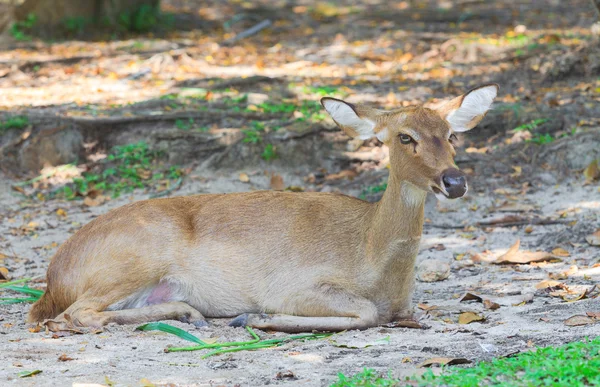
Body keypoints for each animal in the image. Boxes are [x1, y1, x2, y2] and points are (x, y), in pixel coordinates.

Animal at [28, 85, 496, 334]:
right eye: (404, 137)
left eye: (452, 135)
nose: (455, 182)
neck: (371, 257)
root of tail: (56, 276)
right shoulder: (294, 283)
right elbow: (364, 313)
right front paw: (256, 318)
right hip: (135, 254)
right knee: (73, 314)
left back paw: (187, 311)